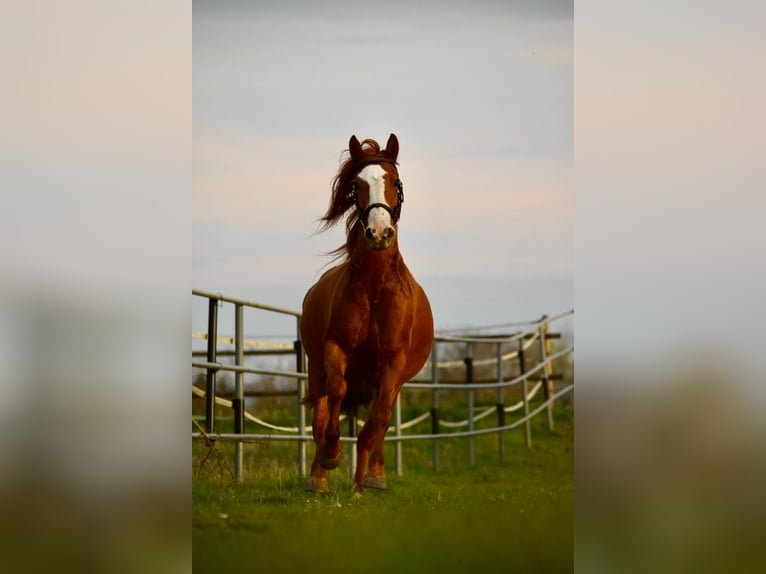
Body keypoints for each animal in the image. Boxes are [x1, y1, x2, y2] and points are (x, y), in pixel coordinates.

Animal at [300, 133, 434, 497]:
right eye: (355, 185)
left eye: (396, 182)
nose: (379, 233)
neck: (374, 288)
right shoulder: (336, 350)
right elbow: (335, 396)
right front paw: (331, 455)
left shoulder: (393, 365)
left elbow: (375, 424)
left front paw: (363, 483)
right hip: (315, 368)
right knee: (321, 411)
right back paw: (318, 477)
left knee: (380, 421)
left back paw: (370, 477)